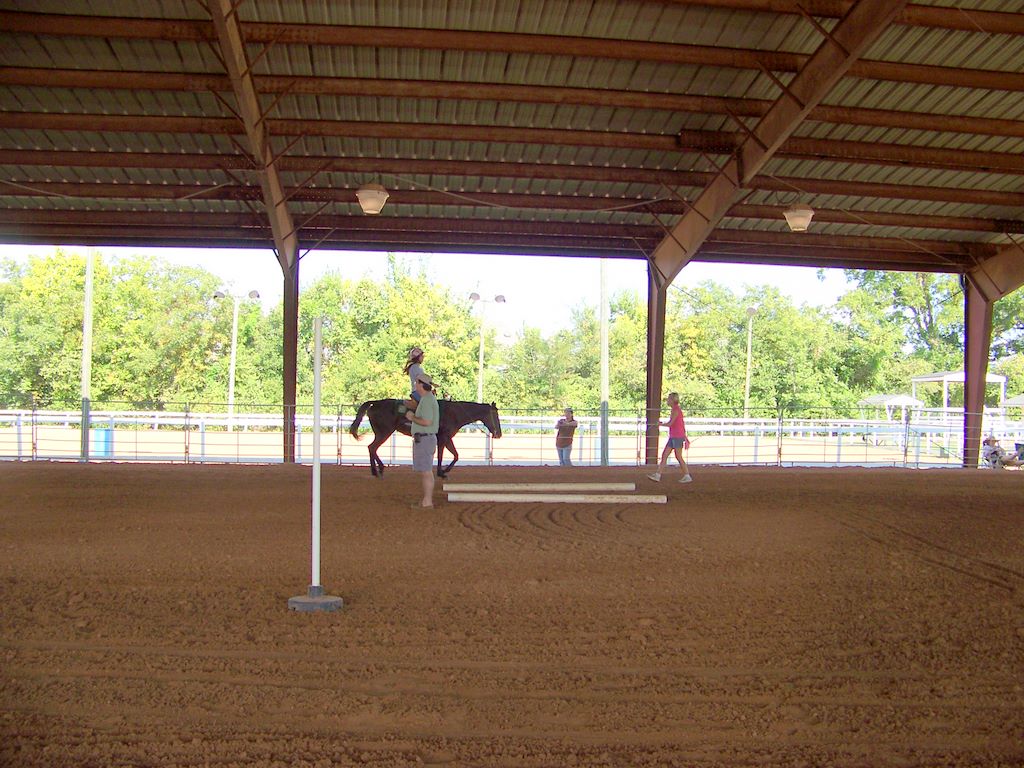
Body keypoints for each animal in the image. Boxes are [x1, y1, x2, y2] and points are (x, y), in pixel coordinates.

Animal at [349, 399, 502, 478]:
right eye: (495, 415)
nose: (499, 434)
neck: (454, 413)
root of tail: (375, 403)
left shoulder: (448, 438)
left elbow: (456, 455)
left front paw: (445, 471)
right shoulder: (443, 438)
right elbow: (441, 456)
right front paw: (441, 472)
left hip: (381, 432)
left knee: (371, 448)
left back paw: (377, 469)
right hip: (384, 432)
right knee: (372, 447)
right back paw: (377, 470)